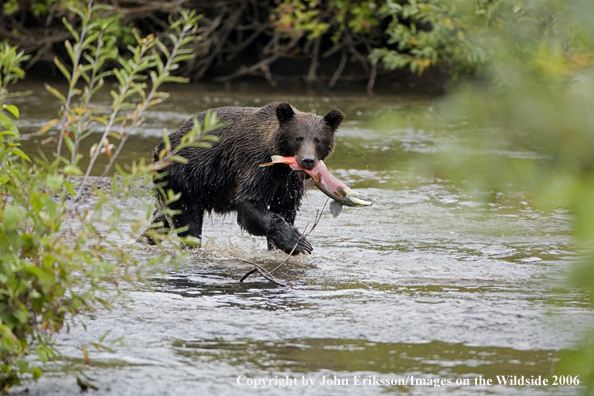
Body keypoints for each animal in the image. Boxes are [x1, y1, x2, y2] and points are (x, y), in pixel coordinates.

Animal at [144, 102, 344, 255]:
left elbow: (286, 208)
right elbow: (249, 204)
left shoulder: (289, 182)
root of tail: (160, 147)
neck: (280, 165)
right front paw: (299, 243)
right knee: (188, 221)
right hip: (185, 176)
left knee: (162, 219)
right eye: (298, 138)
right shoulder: (255, 163)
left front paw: (280, 247)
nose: (307, 160)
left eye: (318, 140)